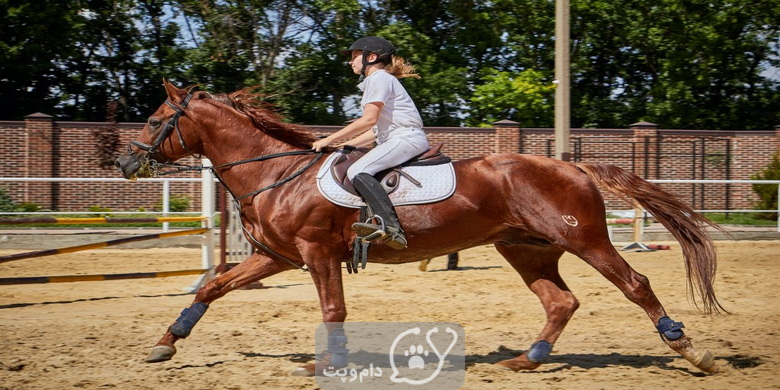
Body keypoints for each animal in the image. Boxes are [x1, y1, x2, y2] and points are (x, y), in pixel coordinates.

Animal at [114, 78, 724, 374]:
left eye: (152, 119)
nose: (124, 162)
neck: (276, 173)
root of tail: (571, 164)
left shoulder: (315, 253)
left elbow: (332, 310)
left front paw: (328, 363)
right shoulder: (278, 257)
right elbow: (212, 287)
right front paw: (165, 345)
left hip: (584, 239)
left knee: (635, 285)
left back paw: (691, 351)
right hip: (526, 249)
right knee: (560, 301)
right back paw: (527, 359)